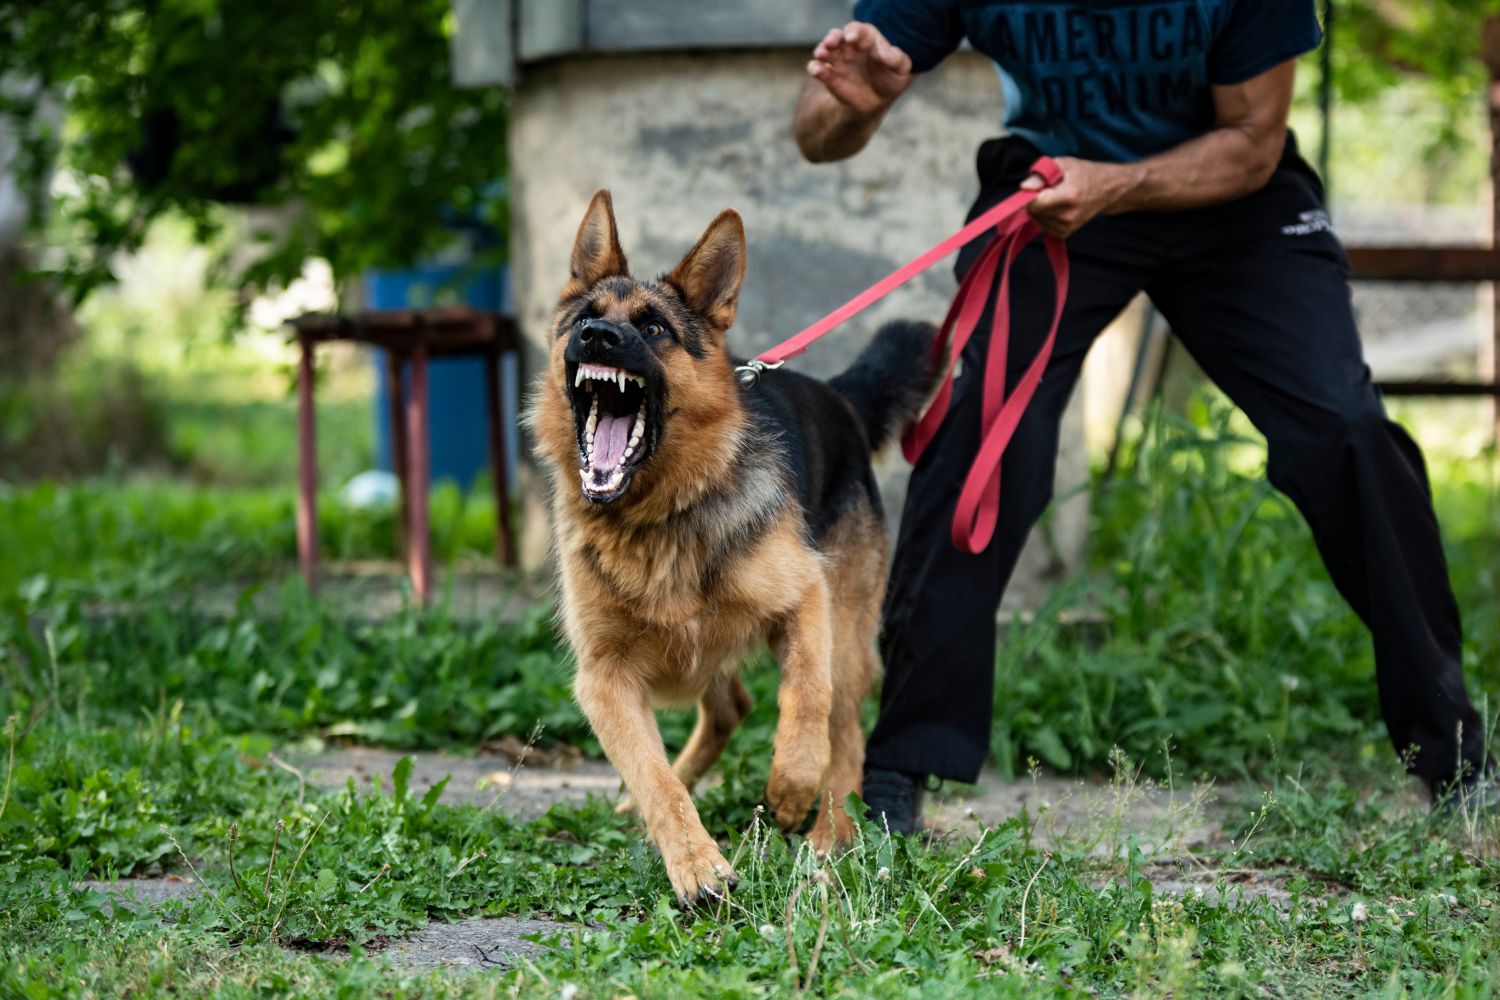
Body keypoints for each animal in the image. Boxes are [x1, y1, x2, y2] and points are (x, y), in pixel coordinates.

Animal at [525, 191, 924, 905]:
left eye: (654, 327)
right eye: (585, 317)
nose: (596, 338)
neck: (659, 513)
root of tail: (837, 397)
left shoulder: (805, 598)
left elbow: (807, 699)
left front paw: (790, 788)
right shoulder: (604, 679)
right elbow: (655, 777)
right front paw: (697, 866)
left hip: (846, 635)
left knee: (844, 727)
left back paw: (830, 835)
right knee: (730, 707)